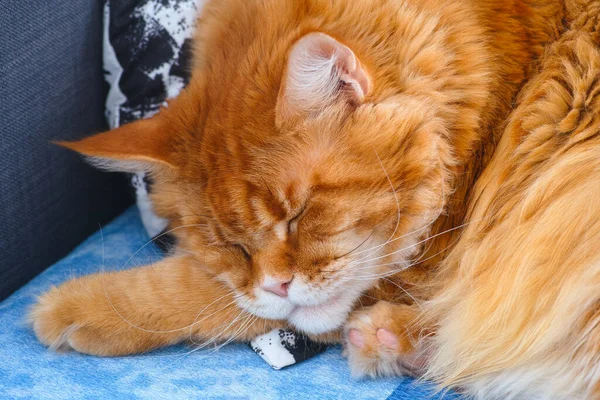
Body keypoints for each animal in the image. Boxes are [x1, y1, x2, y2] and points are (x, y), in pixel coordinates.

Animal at [29, 0, 600, 398]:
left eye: (298, 216)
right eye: (232, 246)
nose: (277, 285)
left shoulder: (449, 252)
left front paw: (75, 305)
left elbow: (192, 290)